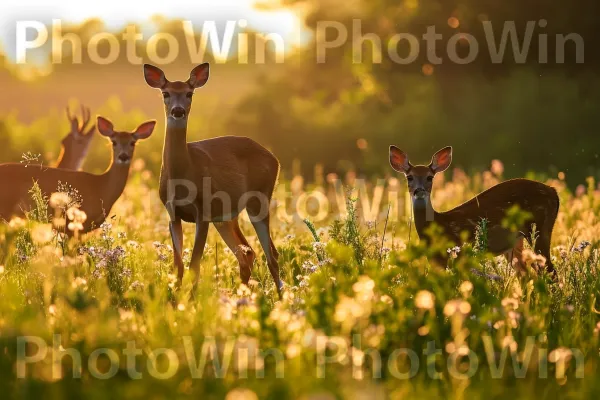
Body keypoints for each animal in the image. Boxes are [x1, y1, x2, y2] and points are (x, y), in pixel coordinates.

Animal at [143, 64, 284, 296]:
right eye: (165, 93)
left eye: (189, 93)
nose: (178, 111)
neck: (184, 173)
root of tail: (275, 159)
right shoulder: (172, 213)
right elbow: (178, 266)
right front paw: (177, 300)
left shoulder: (203, 211)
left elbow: (194, 265)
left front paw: (190, 300)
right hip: (225, 217)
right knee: (247, 253)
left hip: (259, 200)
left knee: (271, 254)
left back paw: (281, 299)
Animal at [392, 146, 560, 276]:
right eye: (409, 177)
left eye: (429, 177)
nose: (419, 191)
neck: (438, 224)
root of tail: (554, 192)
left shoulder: (457, 255)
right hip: (515, 242)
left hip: (539, 228)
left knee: (549, 271)